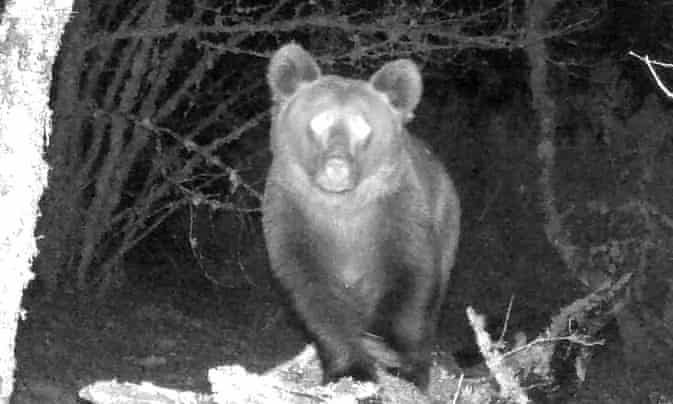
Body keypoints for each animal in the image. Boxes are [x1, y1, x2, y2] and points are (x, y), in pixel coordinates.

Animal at [262, 43, 460, 390]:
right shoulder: (292, 218)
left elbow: (412, 284)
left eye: (363, 127)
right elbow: (315, 297)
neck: (342, 208)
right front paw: (351, 368)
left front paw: (401, 363)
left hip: (446, 220)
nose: (337, 165)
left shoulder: (396, 214)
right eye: (318, 122)